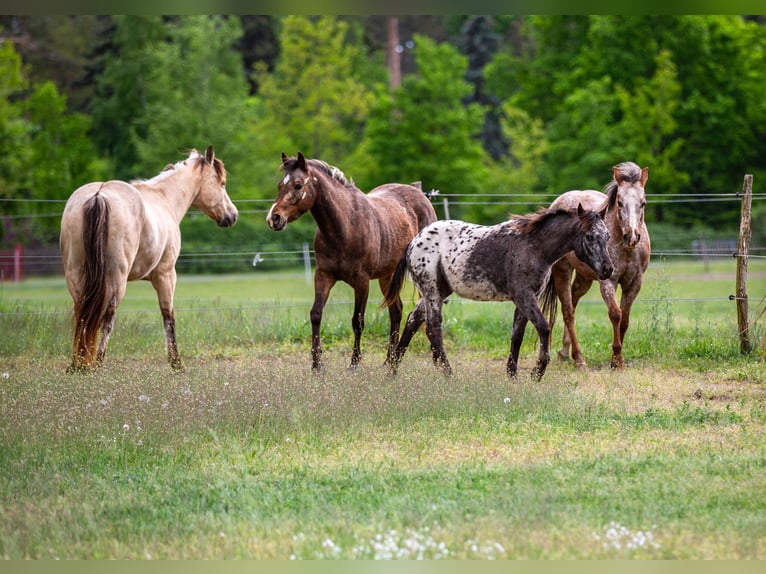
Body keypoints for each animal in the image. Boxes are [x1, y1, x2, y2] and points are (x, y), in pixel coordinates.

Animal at [59, 146, 238, 372]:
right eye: (221, 183)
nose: (233, 215)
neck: (164, 198)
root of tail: (98, 195)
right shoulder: (166, 275)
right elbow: (168, 316)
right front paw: (176, 363)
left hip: (76, 277)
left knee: (82, 316)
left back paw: (78, 364)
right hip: (116, 281)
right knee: (106, 319)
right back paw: (96, 362)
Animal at [266, 152, 437, 373]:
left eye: (297, 185)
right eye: (280, 185)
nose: (274, 218)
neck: (344, 227)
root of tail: (420, 195)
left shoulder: (361, 282)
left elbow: (358, 321)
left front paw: (354, 364)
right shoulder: (323, 276)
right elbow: (316, 314)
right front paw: (316, 364)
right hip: (387, 275)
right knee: (396, 310)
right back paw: (388, 360)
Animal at [383, 205, 614, 380]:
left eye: (607, 235)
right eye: (589, 236)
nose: (608, 269)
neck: (533, 247)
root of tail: (414, 242)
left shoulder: (525, 299)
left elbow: (517, 336)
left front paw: (512, 376)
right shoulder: (524, 295)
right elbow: (544, 328)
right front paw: (537, 372)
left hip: (440, 290)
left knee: (413, 320)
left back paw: (392, 371)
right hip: (432, 291)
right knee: (433, 327)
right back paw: (448, 374)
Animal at [548, 162, 650, 370]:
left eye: (643, 203)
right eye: (619, 202)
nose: (631, 237)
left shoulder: (634, 283)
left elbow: (625, 320)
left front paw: (615, 359)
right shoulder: (608, 281)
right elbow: (616, 315)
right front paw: (617, 358)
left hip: (584, 278)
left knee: (573, 302)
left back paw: (564, 353)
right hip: (562, 270)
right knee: (568, 312)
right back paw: (578, 359)